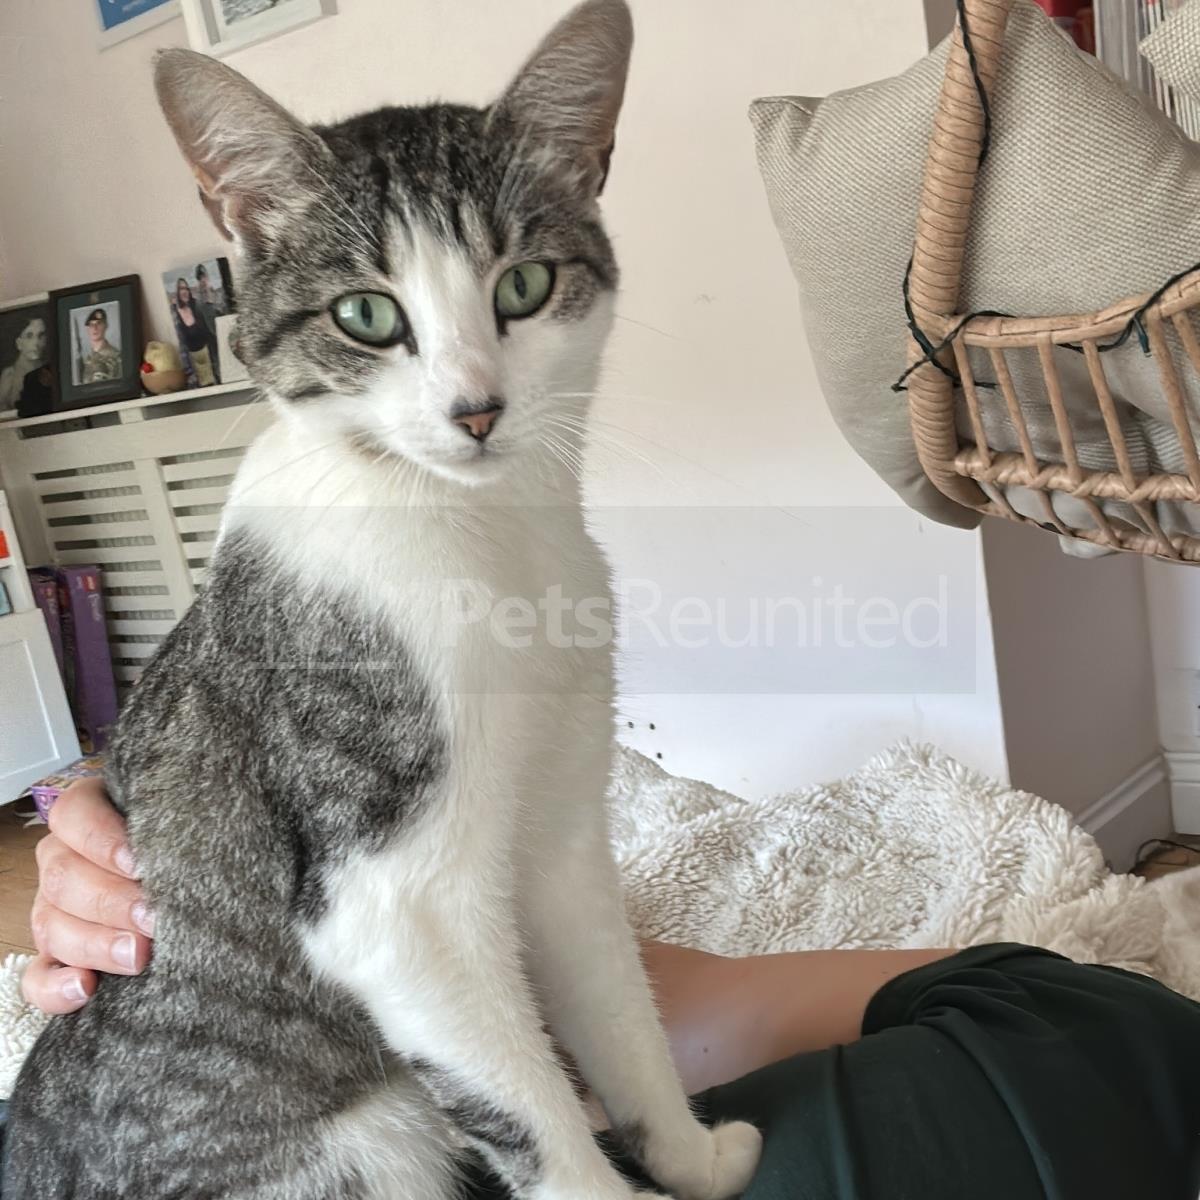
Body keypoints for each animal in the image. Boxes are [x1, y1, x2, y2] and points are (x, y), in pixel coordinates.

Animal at [1, 3, 763, 1198]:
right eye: (366, 313)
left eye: (522, 286)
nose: (477, 410)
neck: (487, 538)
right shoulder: (396, 904)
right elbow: (531, 1111)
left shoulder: (561, 833)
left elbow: (616, 1007)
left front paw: (690, 1157)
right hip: (369, 1140)